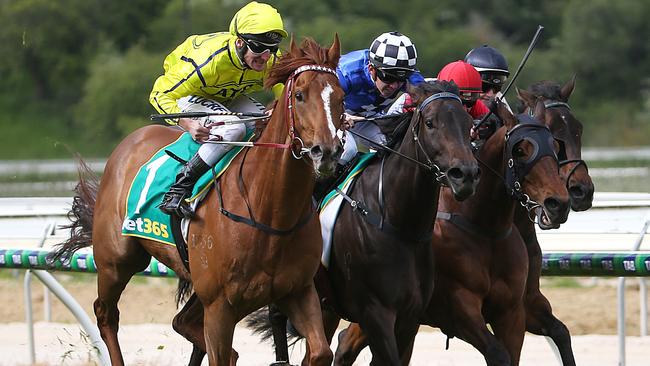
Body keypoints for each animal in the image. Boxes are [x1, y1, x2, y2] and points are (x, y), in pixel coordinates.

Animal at [48, 36, 344, 366]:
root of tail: (130, 142)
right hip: (116, 261)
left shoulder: (298, 291)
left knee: (185, 325)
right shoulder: (219, 307)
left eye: (341, 96)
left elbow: (320, 351)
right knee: (106, 314)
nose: (327, 152)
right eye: (301, 95)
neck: (269, 212)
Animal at [332, 98, 568, 364]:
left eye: (555, 146)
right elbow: (498, 353)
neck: (485, 229)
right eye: (520, 150)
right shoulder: (457, 309)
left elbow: (559, 333)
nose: (559, 203)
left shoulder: (515, 310)